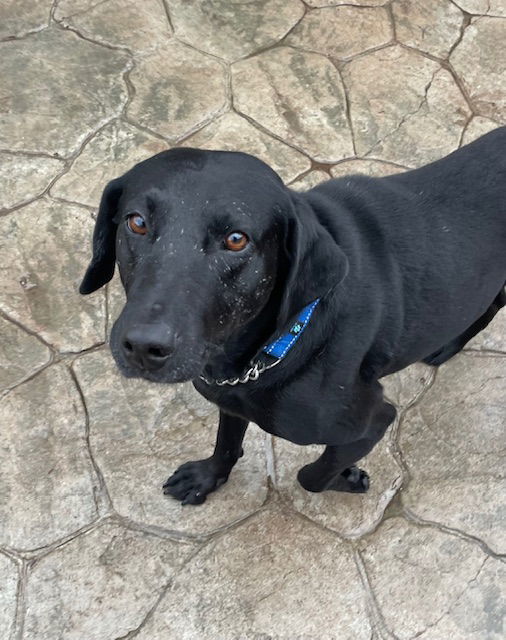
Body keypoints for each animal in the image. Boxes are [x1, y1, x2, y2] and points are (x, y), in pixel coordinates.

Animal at [79, 129, 506, 504]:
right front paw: (208, 477)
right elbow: (227, 442)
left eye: (236, 239)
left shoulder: (373, 419)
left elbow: (310, 477)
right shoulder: (229, 398)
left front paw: (347, 477)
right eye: (137, 221)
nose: (143, 348)